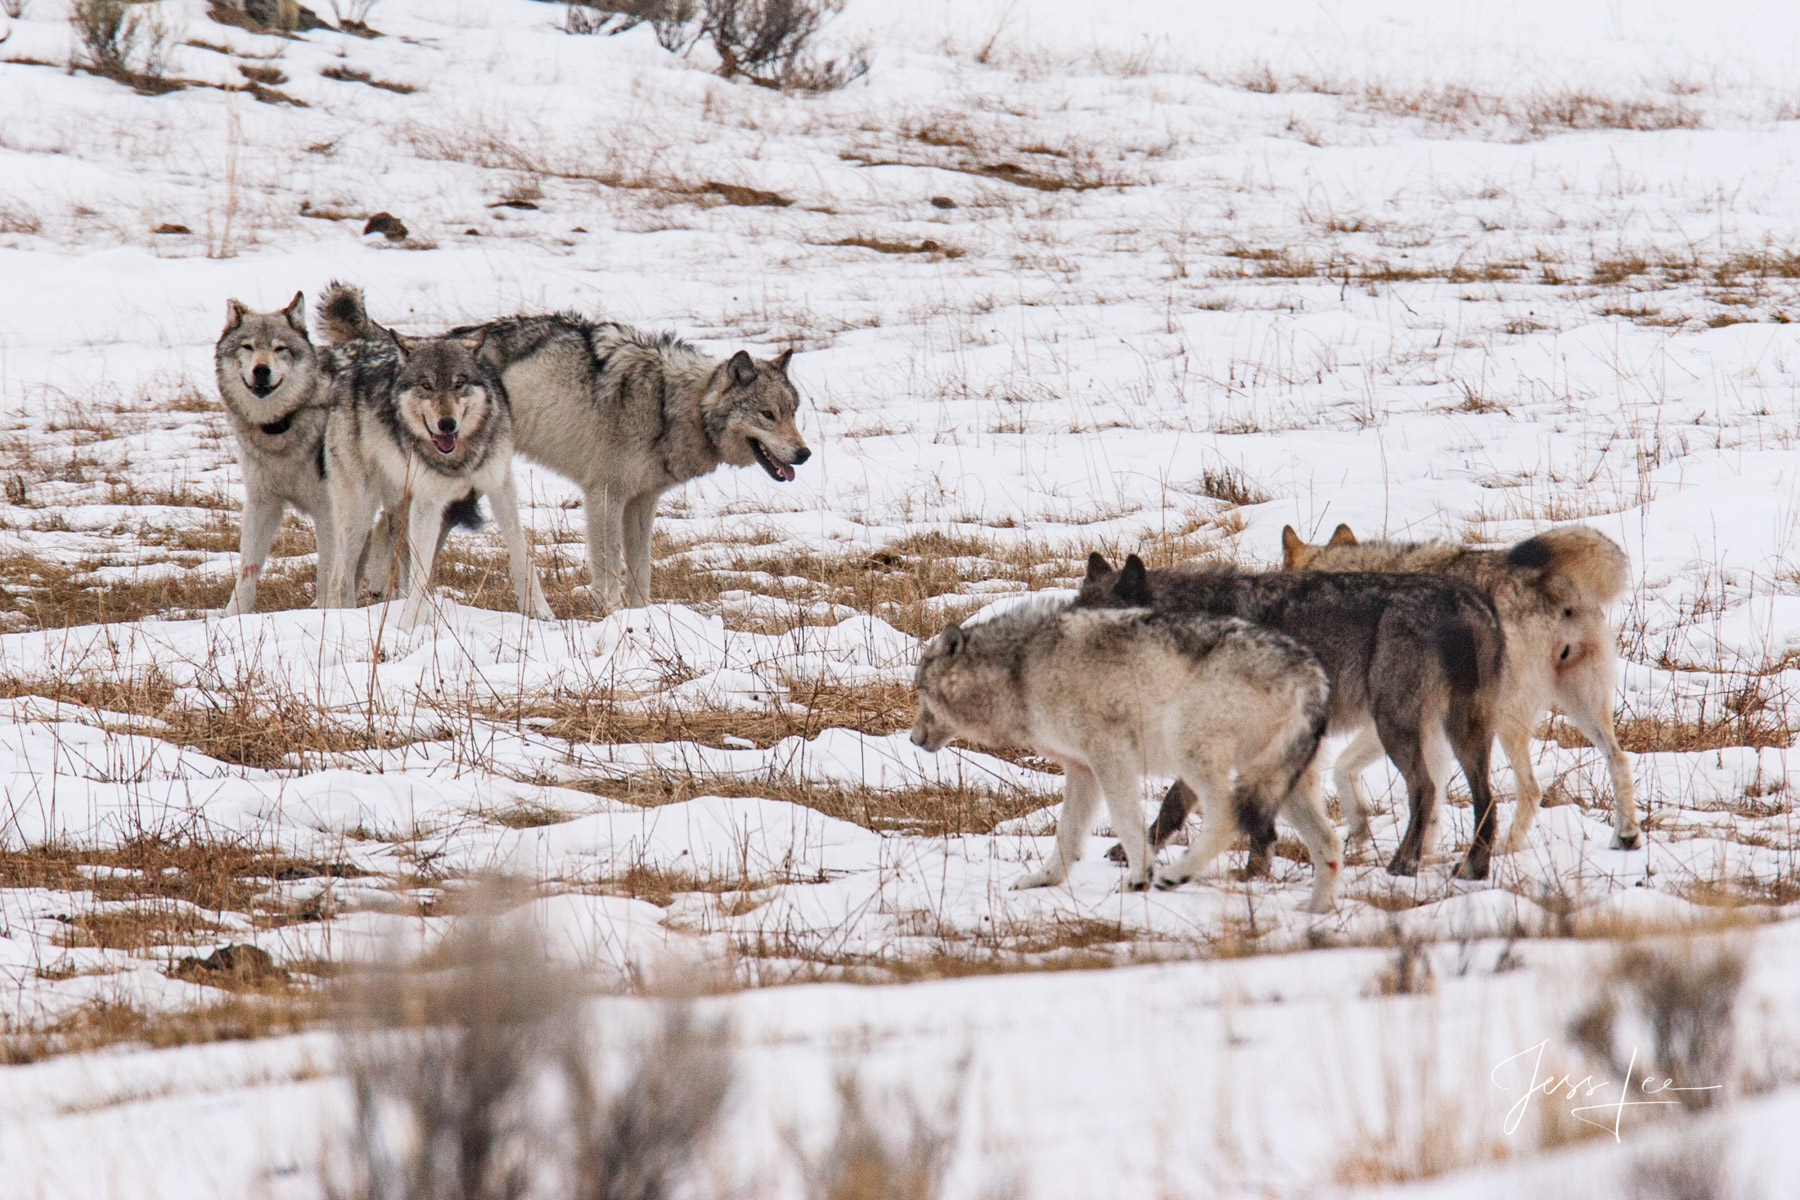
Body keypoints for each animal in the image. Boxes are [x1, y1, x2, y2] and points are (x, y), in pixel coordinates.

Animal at [215, 287, 338, 615]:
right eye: (247, 347)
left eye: (280, 348)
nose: (261, 370)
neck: (280, 428)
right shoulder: (262, 503)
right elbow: (247, 569)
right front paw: (233, 617)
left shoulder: (328, 509)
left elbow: (327, 569)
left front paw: (328, 612)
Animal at [320, 323, 547, 633]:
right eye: (426, 385)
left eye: (458, 383)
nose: (447, 424)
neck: (458, 458)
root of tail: (349, 370)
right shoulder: (428, 502)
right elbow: (422, 569)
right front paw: (410, 624)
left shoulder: (500, 486)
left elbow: (522, 553)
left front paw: (539, 611)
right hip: (358, 510)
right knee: (340, 577)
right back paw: (345, 617)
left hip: (399, 506)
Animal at [907, 600, 1346, 910]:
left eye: (921, 693)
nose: (912, 738)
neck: (1020, 671)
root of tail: (1311, 672)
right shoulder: (1080, 769)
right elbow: (1066, 835)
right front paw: (1043, 880)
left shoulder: (1110, 755)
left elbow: (1125, 821)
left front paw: (1139, 876)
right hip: (1281, 785)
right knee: (1328, 844)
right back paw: (1315, 917)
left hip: (1192, 754)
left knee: (1226, 819)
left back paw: (1174, 875)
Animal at [1072, 554, 1512, 881]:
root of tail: (1472, 601)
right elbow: (1186, 807)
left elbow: (1181, 803)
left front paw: (1253, 870)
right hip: (1464, 732)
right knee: (1486, 799)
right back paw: (1473, 868)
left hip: (1395, 726)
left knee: (1426, 789)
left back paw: (1404, 864)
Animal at [1274, 525, 1641, 852]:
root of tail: (1549, 583)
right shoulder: (1428, 730)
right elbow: (1428, 793)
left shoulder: (1401, 717)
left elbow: (1342, 767)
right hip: (1584, 708)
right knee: (1619, 759)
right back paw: (1626, 837)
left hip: (1505, 721)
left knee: (1532, 788)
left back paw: (1506, 847)